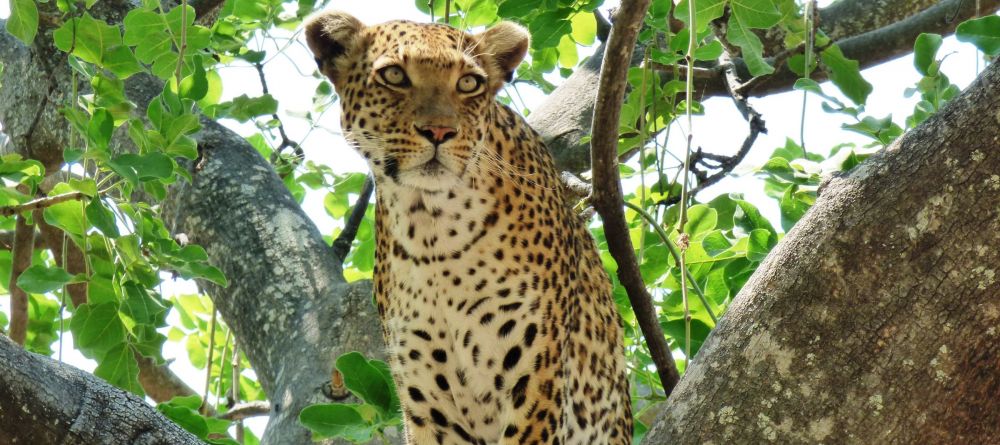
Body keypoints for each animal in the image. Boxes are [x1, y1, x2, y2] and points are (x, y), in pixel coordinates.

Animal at [304, 12, 632, 442]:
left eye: (469, 83)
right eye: (393, 75)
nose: (439, 131)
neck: (432, 227)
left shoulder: (534, 367)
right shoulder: (426, 393)